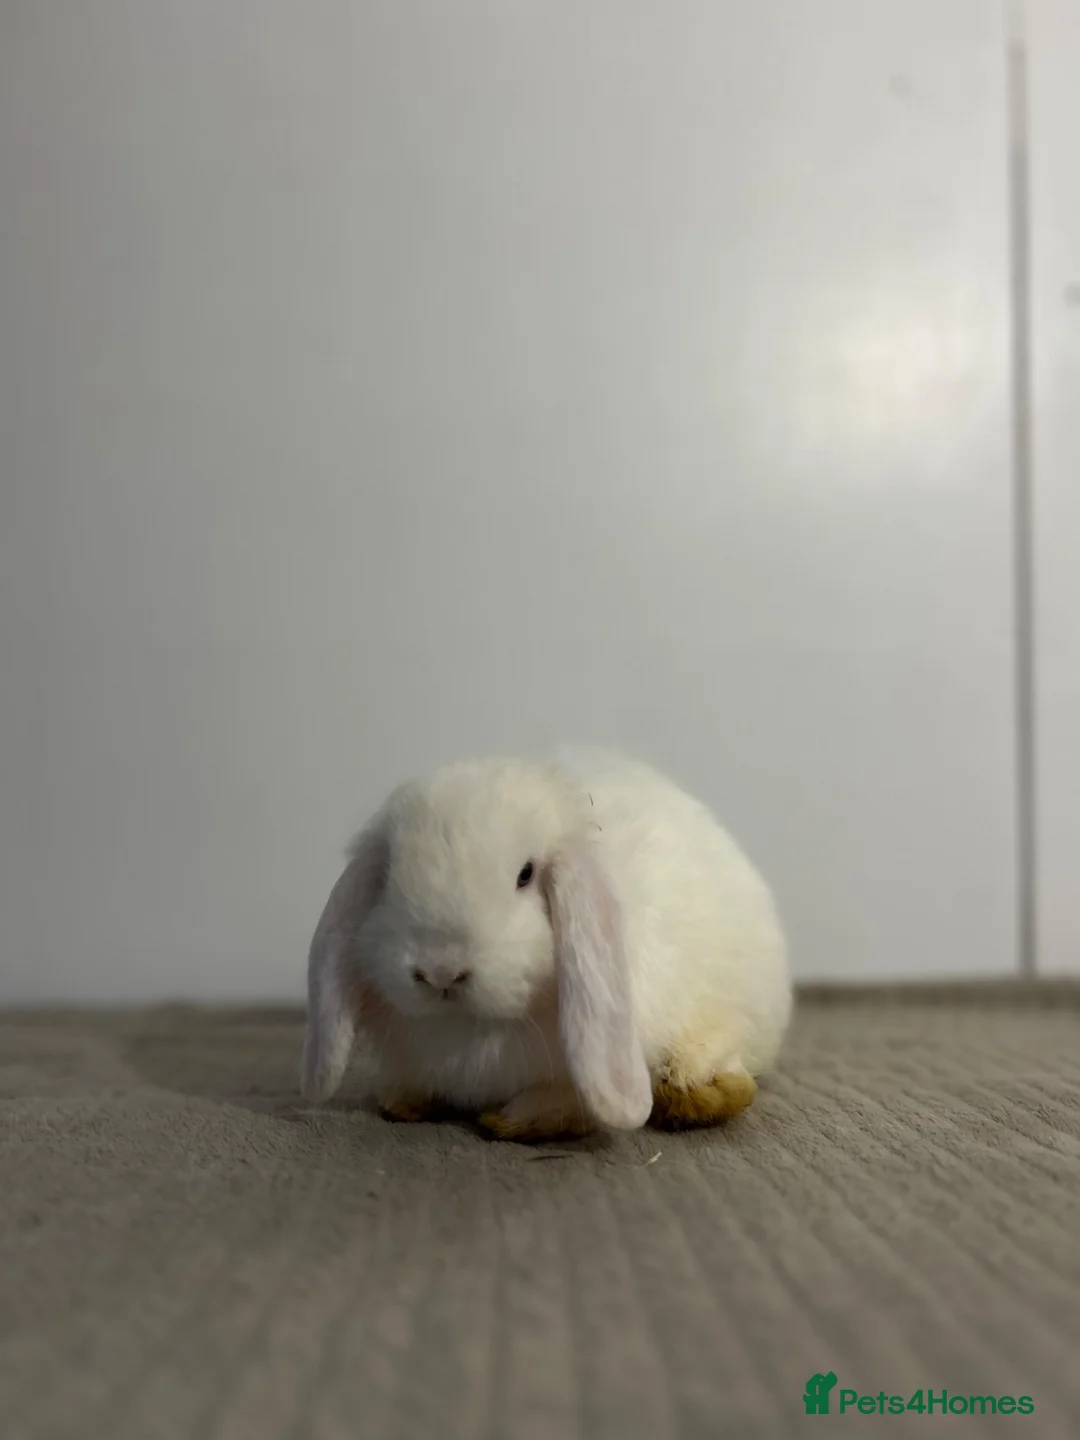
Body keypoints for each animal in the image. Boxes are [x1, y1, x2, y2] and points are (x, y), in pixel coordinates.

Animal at [300, 746, 791, 1141]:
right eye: (386, 875)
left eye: (526, 874)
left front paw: (507, 1121)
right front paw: (404, 1102)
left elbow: (565, 1107)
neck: (471, 1028)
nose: (440, 972)